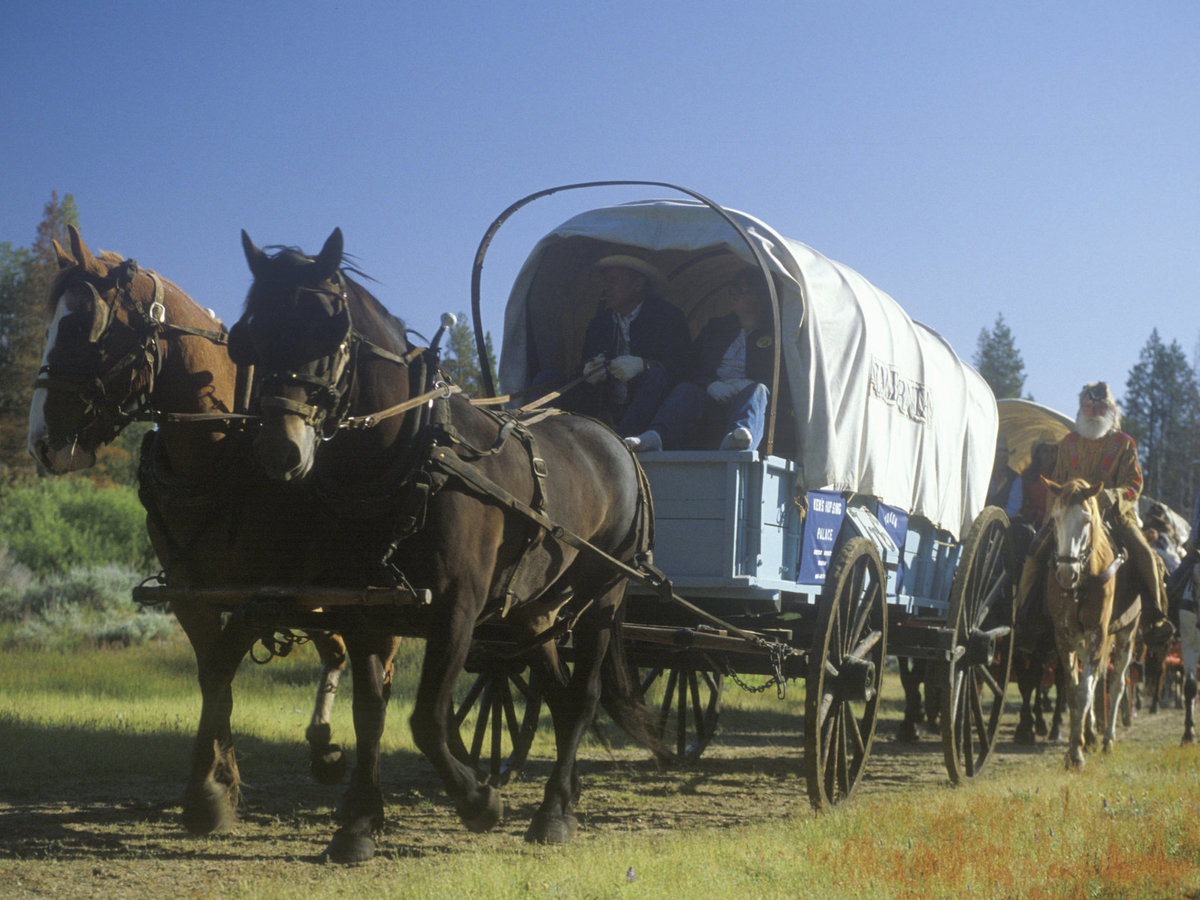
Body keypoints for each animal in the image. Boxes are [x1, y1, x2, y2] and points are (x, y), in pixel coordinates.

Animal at [25, 230, 386, 830]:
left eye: (82, 326)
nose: (41, 442)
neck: (220, 451)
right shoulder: (188, 591)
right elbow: (213, 679)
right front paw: (221, 784)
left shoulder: (257, 595)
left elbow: (219, 673)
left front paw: (206, 792)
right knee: (336, 651)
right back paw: (324, 748)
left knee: (380, 666)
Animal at [234, 229, 667, 864]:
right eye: (248, 335)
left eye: (328, 331)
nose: (280, 450)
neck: (414, 456)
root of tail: (616, 439)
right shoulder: (363, 607)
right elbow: (370, 714)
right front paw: (358, 823)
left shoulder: (457, 605)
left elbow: (428, 718)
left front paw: (479, 801)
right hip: (535, 609)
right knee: (561, 699)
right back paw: (562, 801)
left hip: (603, 598)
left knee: (584, 697)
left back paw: (551, 814)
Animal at [1046, 480, 1137, 768]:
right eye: (1055, 519)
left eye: (1086, 520)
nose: (1066, 574)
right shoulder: (1064, 637)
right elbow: (1073, 692)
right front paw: (1077, 744)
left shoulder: (1098, 634)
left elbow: (1086, 692)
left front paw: (1076, 753)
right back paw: (1091, 734)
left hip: (1127, 635)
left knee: (1117, 685)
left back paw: (1107, 739)